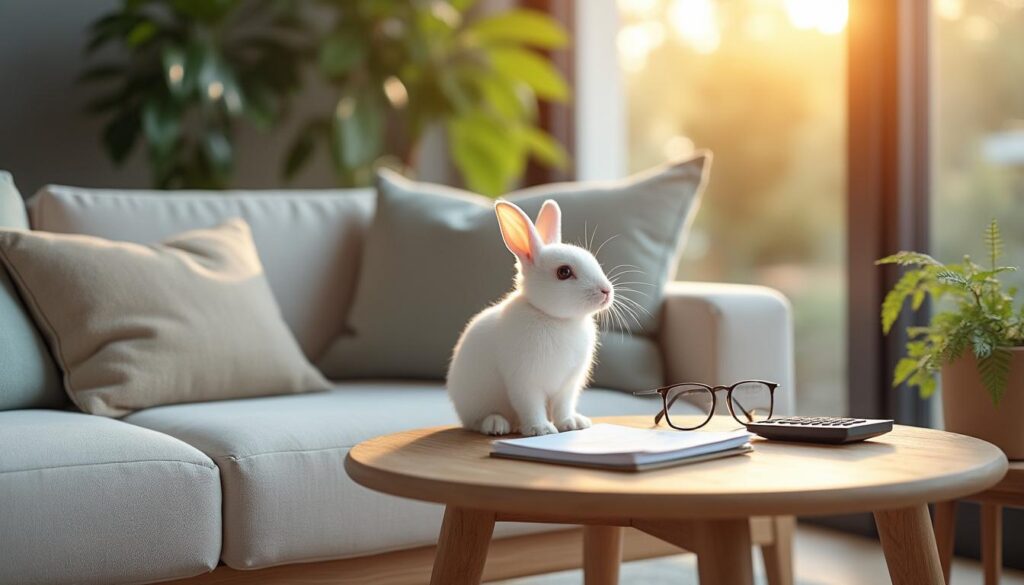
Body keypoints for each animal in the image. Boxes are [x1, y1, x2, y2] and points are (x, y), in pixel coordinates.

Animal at [446, 199, 615, 436]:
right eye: (564, 272)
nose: (606, 291)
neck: (555, 318)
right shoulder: (524, 381)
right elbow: (531, 406)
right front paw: (541, 429)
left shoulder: (567, 385)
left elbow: (563, 406)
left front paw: (572, 424)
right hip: (476, 402)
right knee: (476, 421)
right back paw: (496, 424)